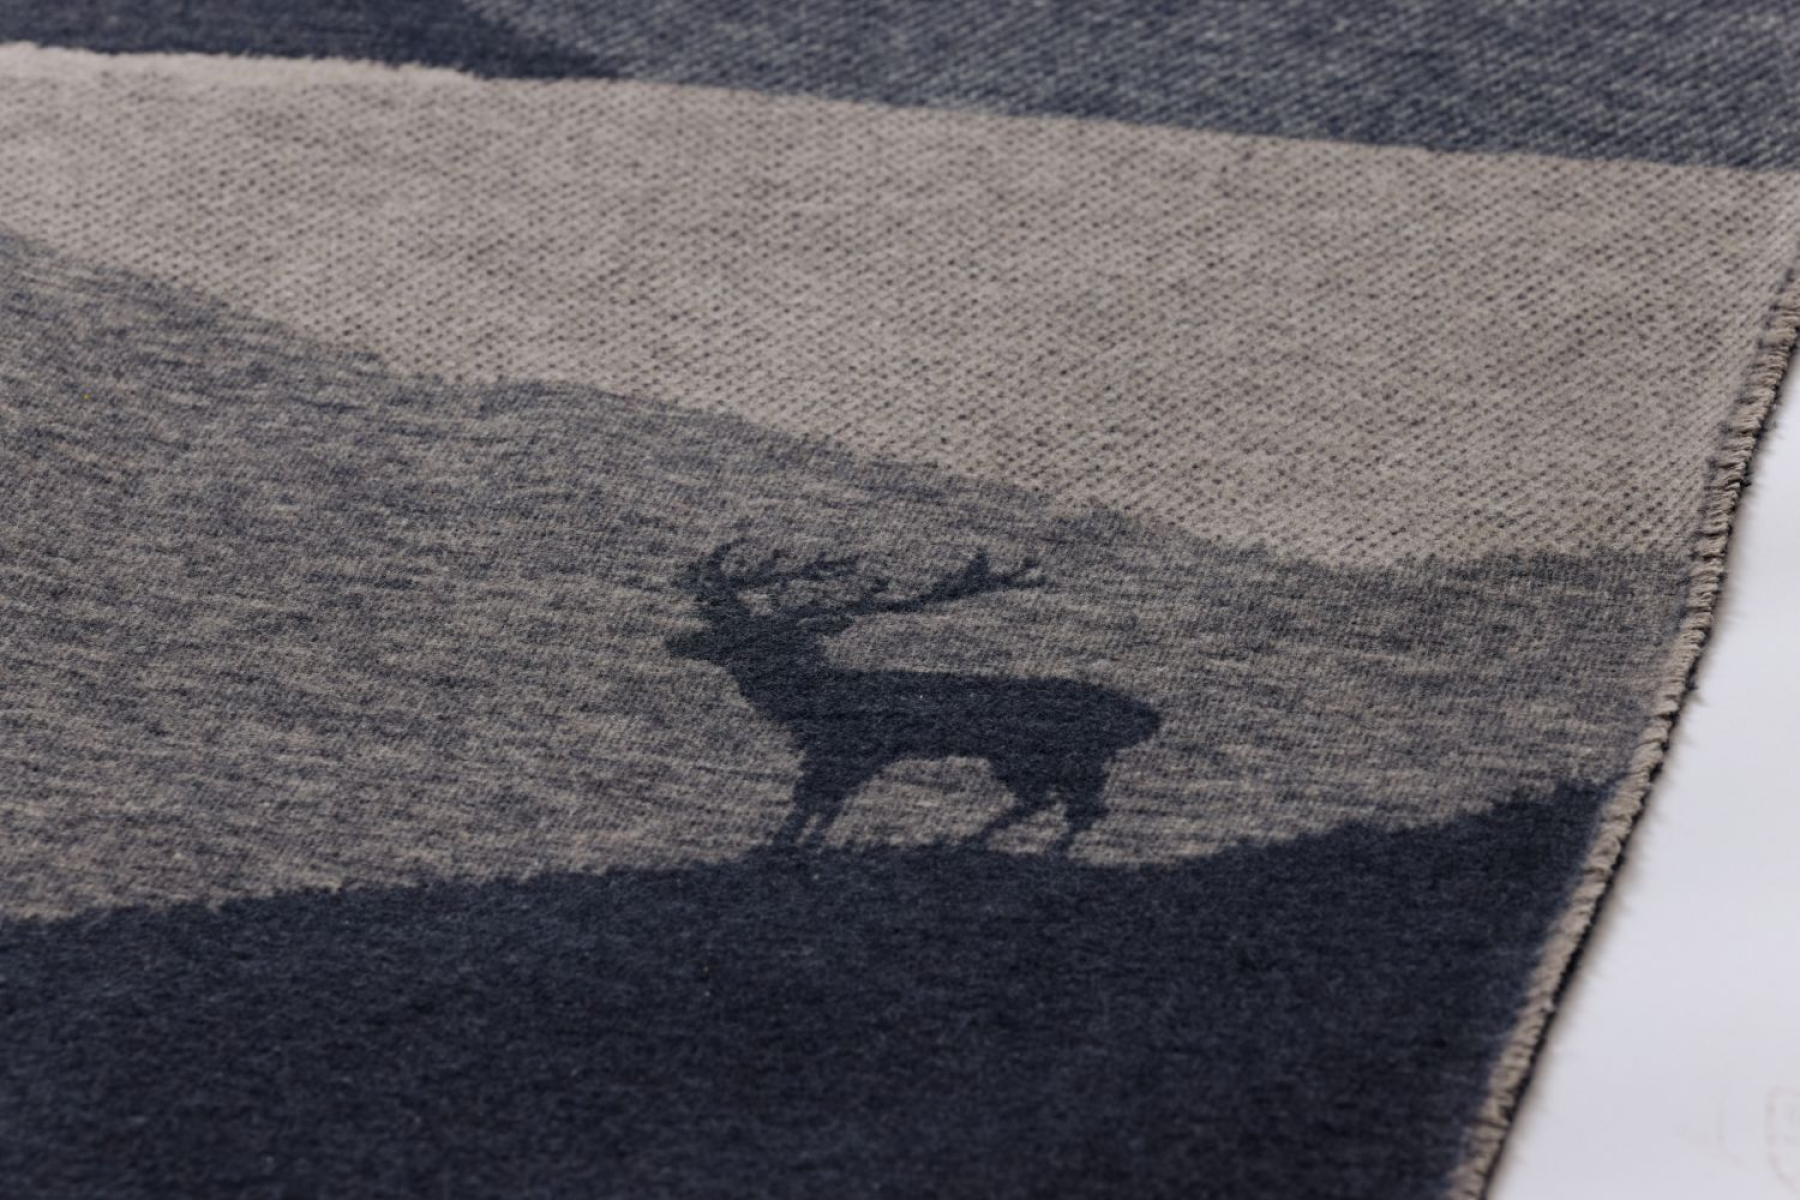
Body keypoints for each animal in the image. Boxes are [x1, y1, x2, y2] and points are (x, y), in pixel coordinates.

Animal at [665, 543, 1162, 853]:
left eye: (751, 634)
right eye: (723, 622)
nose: (675, 641)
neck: (809, 701)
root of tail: (1146, 718)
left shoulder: (846, 750)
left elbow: (812, 803)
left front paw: (781, 848)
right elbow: (821, 805)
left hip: (1058, 755)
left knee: (1082, 808)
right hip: (1032, 759)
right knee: (1061, 804)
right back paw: (972, 842)